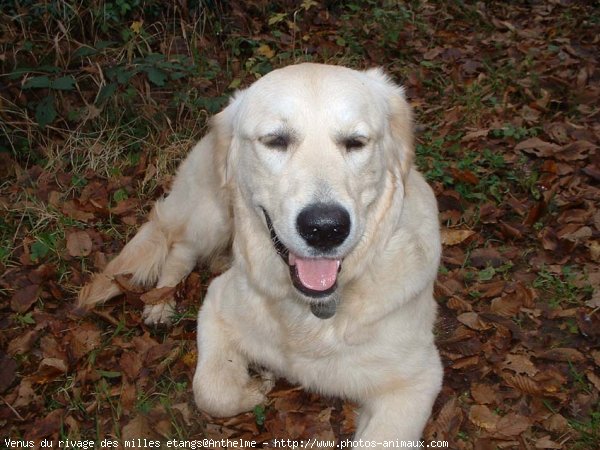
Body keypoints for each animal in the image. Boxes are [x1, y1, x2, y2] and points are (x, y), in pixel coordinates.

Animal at [78, 64, 440, 442]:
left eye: (356, 142)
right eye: (275, 140)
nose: (325, 228)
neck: (311, 310)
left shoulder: (417, 380)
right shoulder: (216, 306)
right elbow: (211, 391)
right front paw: (254, 390)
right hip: (213, 212)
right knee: (180, 248)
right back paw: (160, 303)